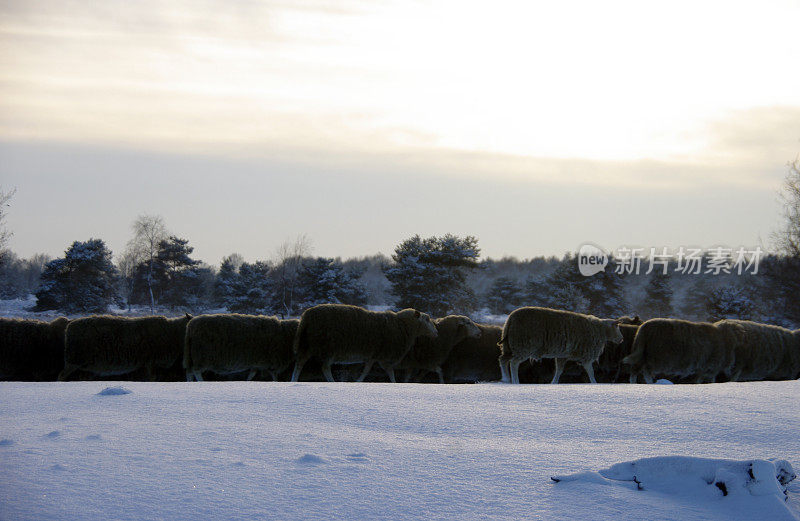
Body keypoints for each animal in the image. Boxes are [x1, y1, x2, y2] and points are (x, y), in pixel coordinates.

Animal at [57, 310, 192, 380]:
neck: (173, 332)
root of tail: (69, 325)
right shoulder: (151, 361)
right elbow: (152, 378)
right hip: (74, 360)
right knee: (61, 375)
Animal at [290, 302, 438, 384]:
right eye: (427, 319)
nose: (436, 332)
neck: (402, 326)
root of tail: (306, 316)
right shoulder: (383, 357)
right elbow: (389, 372)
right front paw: (395, 383)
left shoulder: (373, 355)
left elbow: (366, 370)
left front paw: (358, 381)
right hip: (327, 347)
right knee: (324, 368)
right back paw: (332, 382)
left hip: (307, 345)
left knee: (300, 363)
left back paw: (293, 380)